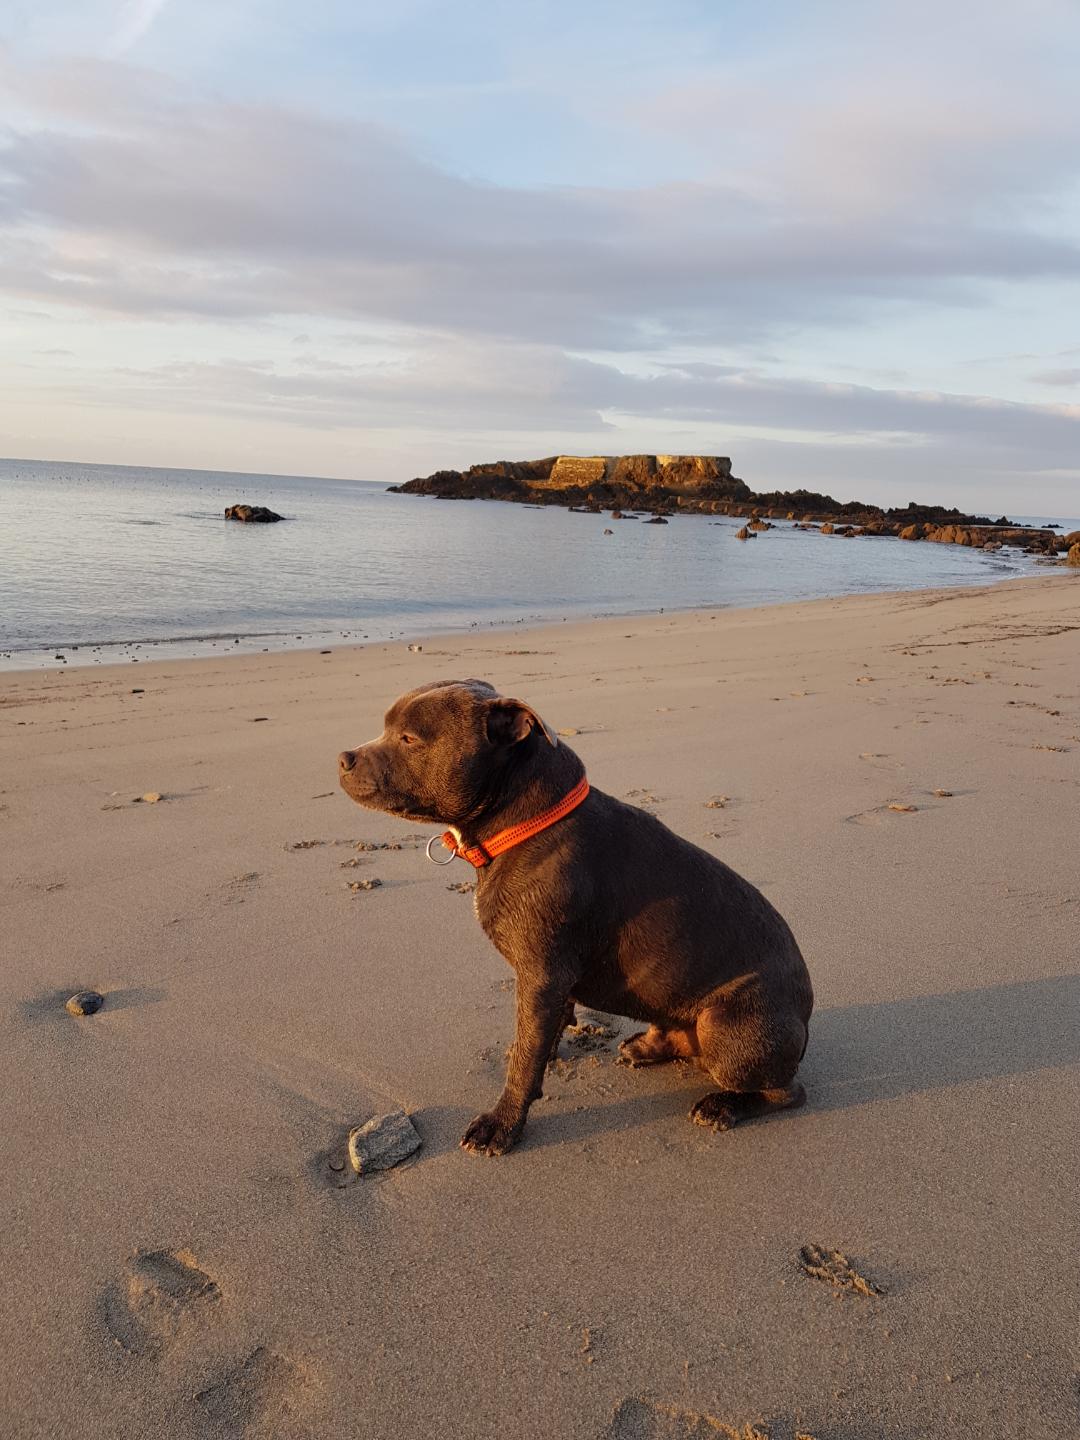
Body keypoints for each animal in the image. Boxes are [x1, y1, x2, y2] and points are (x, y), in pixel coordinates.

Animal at [338, 679, 813, 1156]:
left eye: (409, 738)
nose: (343, 758)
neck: (528, 820)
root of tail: (805, 1016)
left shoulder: (541, 975)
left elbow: (525, 1059)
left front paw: (502, 1123)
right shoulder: (548, 982)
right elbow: (540, 1035)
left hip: (724, 1024)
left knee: (786, 1091)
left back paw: (723, 1106)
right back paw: (649, 1048)